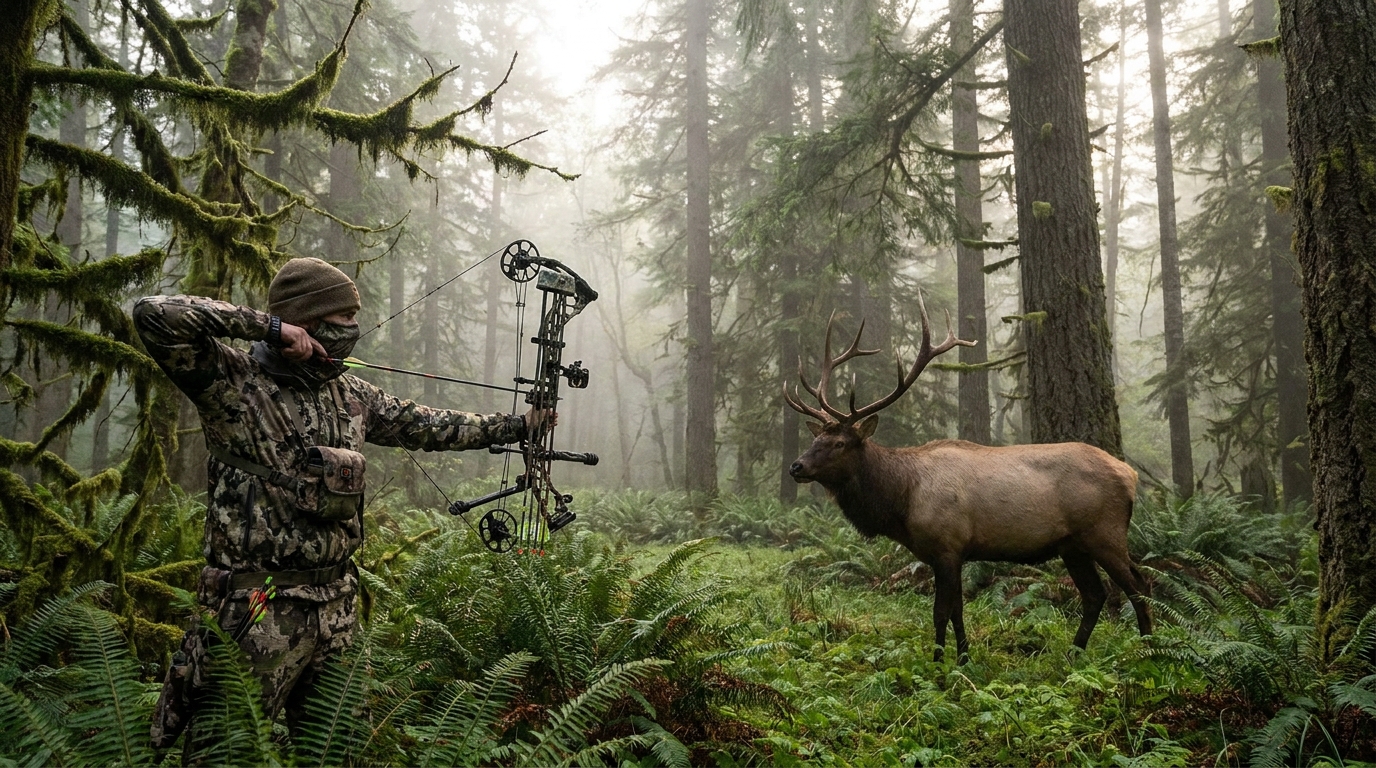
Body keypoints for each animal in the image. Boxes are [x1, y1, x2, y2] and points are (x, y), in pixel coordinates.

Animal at [784, 295, 1152, 662]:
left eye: (840, 443)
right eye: (816, 439)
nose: (796, 467)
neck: (902, 500)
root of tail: (1130, 474)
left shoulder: (948, 546)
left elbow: (941, 612)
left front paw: (939, 664)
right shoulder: (953, 553)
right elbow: (958, 610)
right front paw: (963, 658)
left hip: (1104, 532)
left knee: (1138, 586)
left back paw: (1150, 650)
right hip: (1072, 545)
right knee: (1095, 595)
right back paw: (1074, 654)